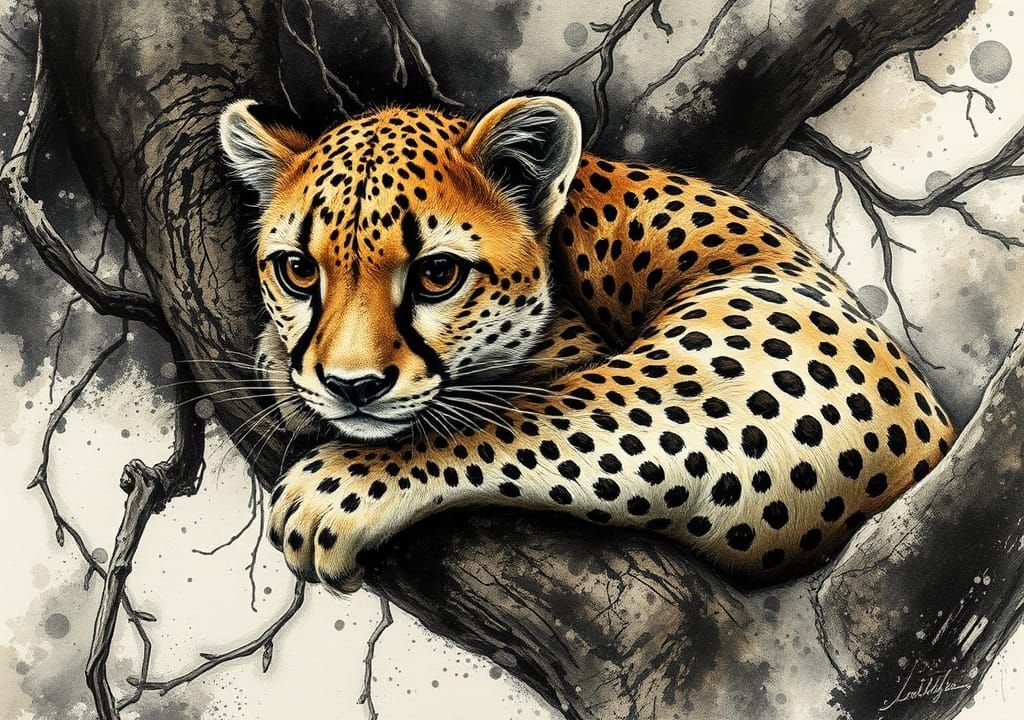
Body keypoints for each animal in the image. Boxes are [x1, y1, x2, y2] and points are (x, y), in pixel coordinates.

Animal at [218, 94, 955, 593]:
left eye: (437, 274)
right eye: (298, 269)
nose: (352, 387)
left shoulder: (781, 364)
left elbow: (520, 413)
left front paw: (336, 487)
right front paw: (281, 364)